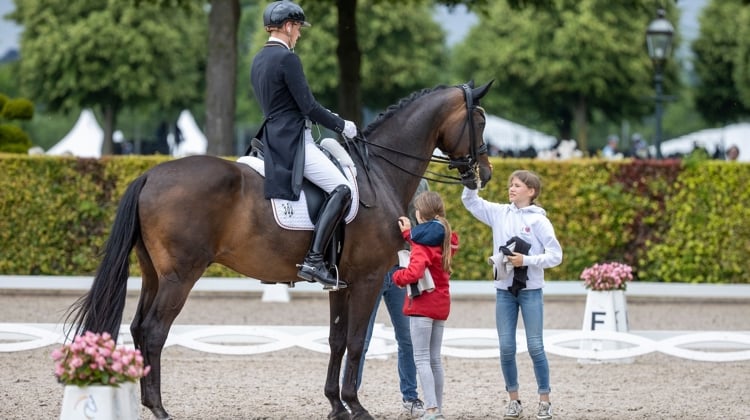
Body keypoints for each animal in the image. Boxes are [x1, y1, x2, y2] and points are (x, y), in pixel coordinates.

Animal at [67, 80, 496, 418]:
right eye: (479, 121)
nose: (486, 174)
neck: (379, 172)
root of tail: (149, 174)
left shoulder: (340, 282)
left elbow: (337, 340)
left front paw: (336, 405)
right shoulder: (369, 279)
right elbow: (358, 341)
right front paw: (356, 406)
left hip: (154, 273)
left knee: (138, 328)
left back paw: (143, 403)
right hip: (180, 276)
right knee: (155, 331)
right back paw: (159, 408)